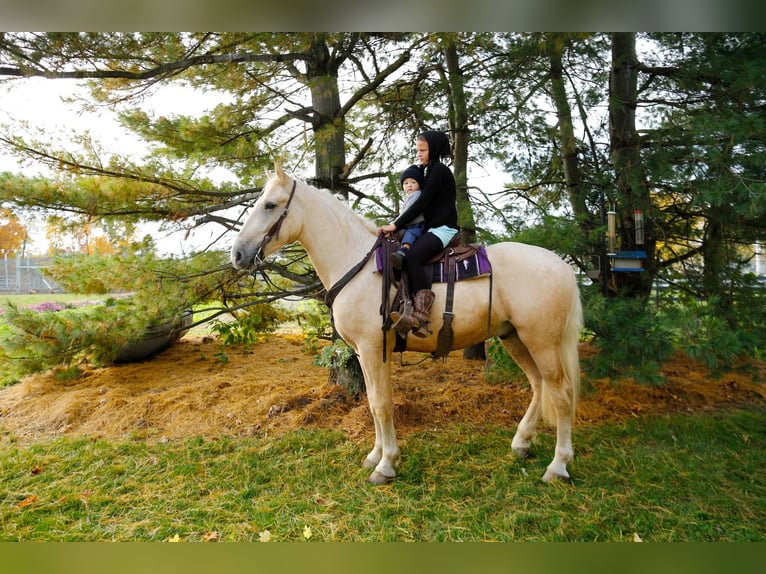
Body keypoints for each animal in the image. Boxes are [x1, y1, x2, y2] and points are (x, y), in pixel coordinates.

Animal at [231, 166, 584, 486]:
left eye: (270, 205)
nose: (237, 254)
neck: (358, 266)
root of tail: (561, 265)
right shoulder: (364, 352)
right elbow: (373, 402)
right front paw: (375, 455)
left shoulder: (374, 348)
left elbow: (382, 404)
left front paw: (386, 465)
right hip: (514, 337)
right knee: (539, 385)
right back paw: (522, 442)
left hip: (542, 342)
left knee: (562, 394)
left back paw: (558, 466)